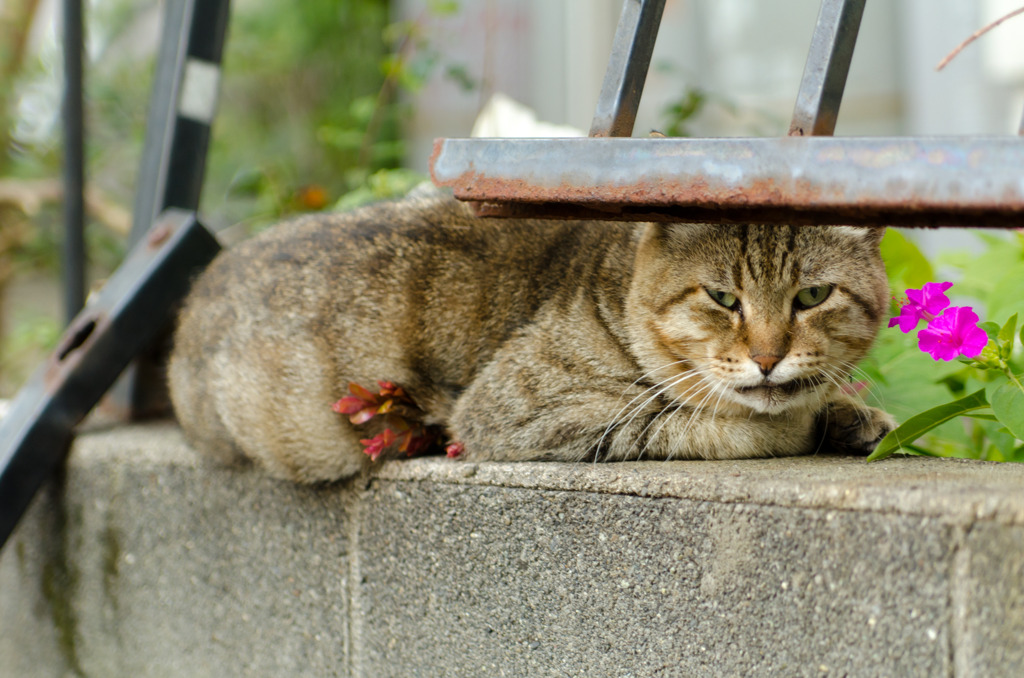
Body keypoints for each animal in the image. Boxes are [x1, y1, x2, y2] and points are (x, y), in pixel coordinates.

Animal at [167, 186, 897, 483]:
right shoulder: (511, 415)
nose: (769, 357)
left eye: (812, 296)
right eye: (723, 298)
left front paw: (851, 414)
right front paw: (803, 423)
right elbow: (701, 424)